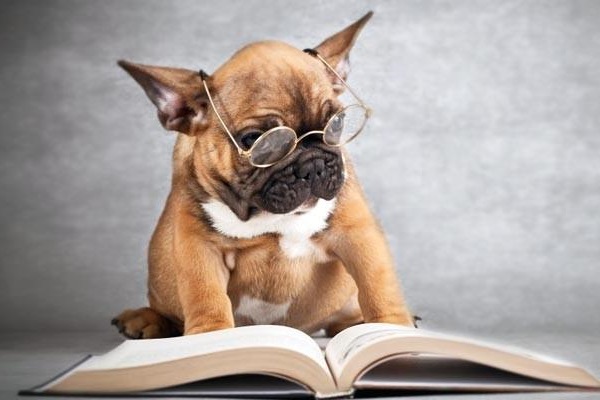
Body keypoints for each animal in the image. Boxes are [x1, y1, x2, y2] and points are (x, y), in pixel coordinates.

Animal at [111, 10, 412, 340]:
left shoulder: (357, 233)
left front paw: (392, 330)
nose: (313, 164)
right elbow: (206, 295)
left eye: (337, 123)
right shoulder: (199, 247)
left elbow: (378, 284)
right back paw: (145, 319)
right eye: (255, 140)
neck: (268, 217)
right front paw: (211, 337)